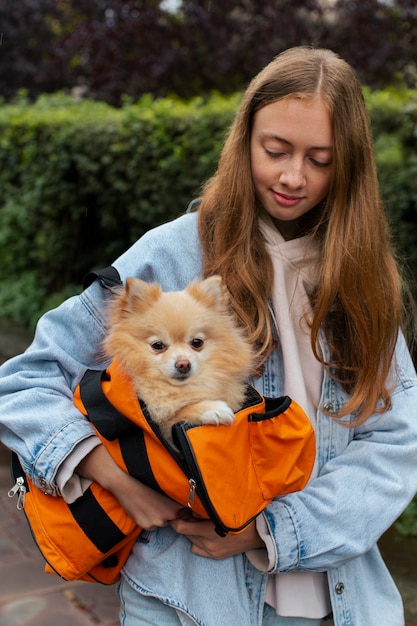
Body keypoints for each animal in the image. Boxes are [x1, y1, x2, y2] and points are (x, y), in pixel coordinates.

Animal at [104, 276, 254, 442]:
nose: (183, 364)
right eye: (158, 345)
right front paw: (214, 409)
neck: (178, 389)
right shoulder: (163, 426)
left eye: (197, 342)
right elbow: (179, 412)